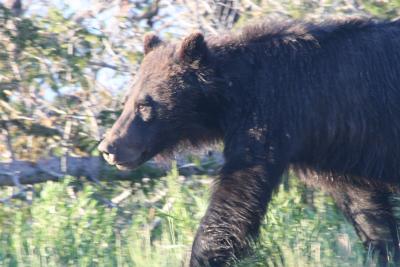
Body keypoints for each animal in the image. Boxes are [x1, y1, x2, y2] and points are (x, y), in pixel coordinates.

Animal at [98, 17, 400, 266]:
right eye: (127, 100)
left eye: (144, 105)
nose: (108, 147)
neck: (232, 97)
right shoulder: (336, 153)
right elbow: (366, 209)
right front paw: (383, 250)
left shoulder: (270, 117)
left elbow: (237, 195)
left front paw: (202, 255)